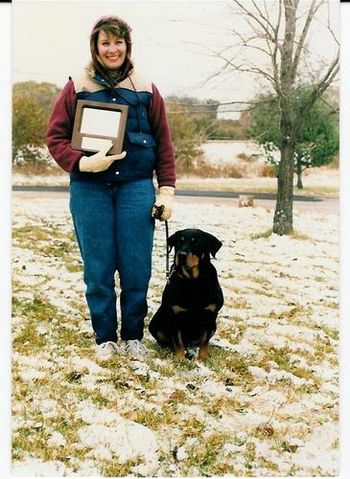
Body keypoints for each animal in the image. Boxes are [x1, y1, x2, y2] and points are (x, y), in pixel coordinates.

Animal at [149, 229, 223, 360]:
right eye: (179, 241)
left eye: (196, 242)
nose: (182, 254)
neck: (192, 281)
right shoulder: (175, 315)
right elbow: (178, 341)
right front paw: (179, 359)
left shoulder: (211, 314)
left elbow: (205, 340)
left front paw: (203, 358)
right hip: (155, 322)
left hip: (214, 326)